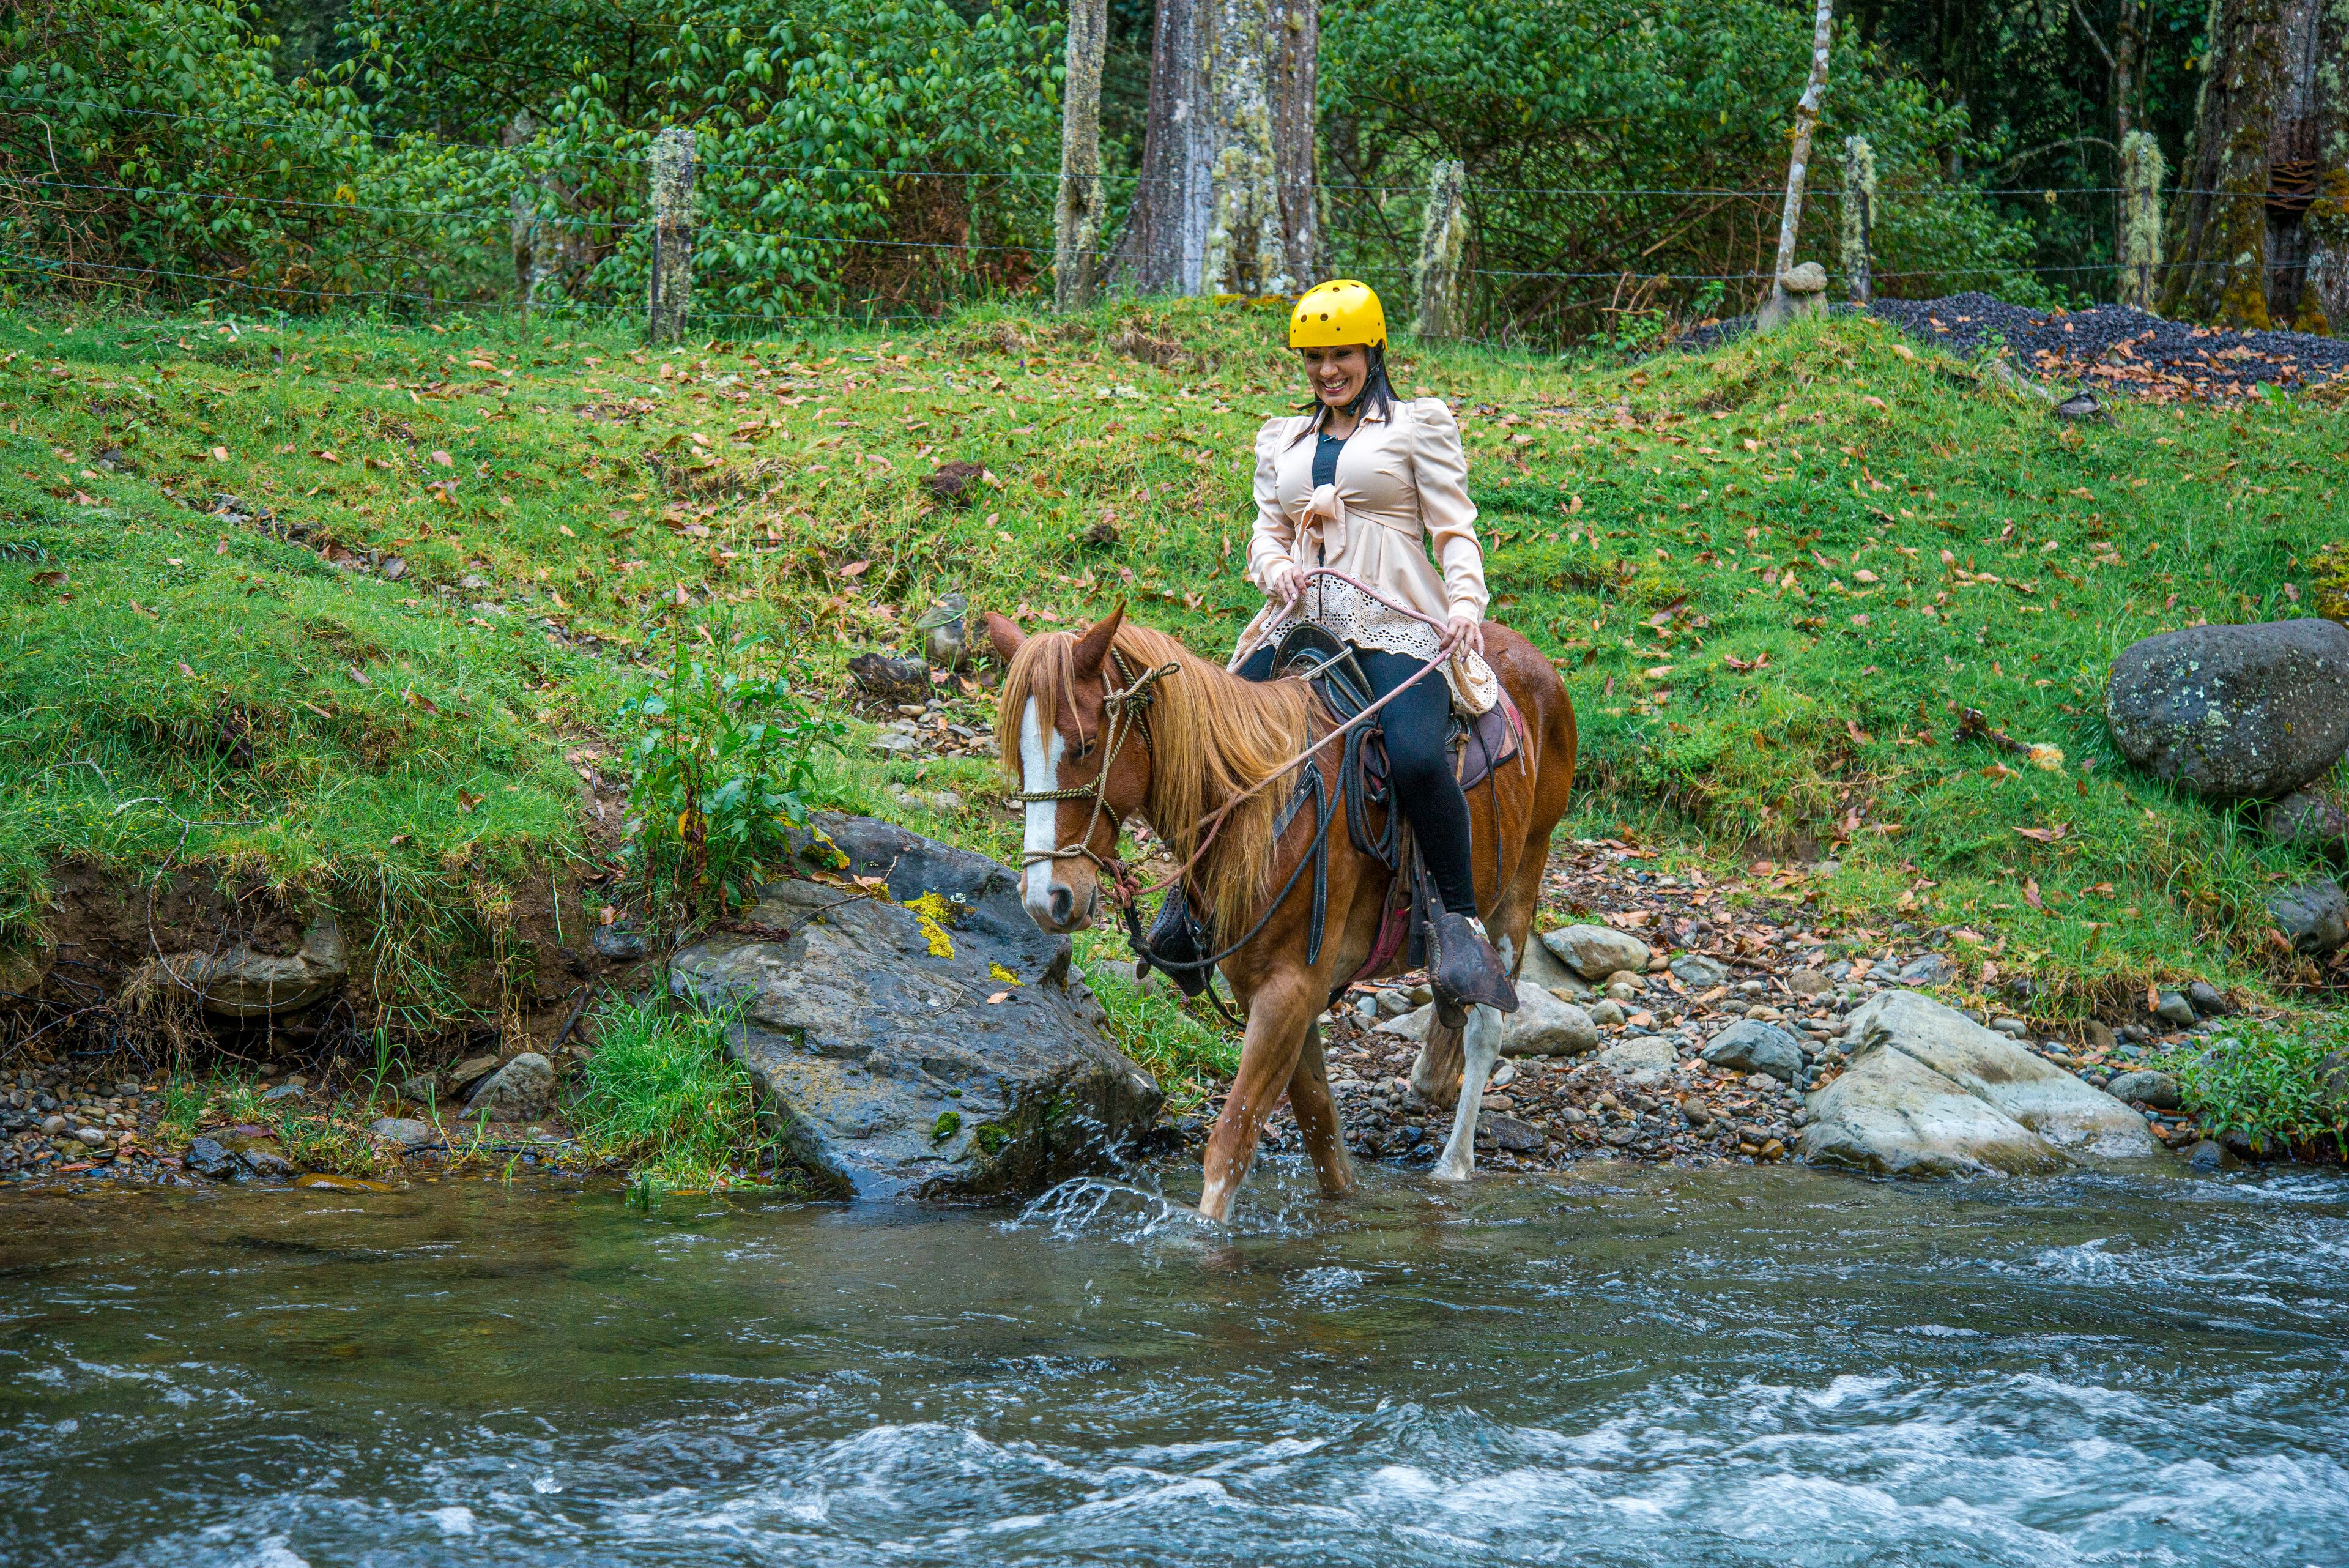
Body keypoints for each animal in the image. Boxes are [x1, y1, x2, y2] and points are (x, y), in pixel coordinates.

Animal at [987, 603, 1578, 1221]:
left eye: (1084, 745)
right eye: (1020, 757)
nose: (1046, 898)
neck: (1266, 804)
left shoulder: (1290, 987)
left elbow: (1231, 1142)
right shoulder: (1269, 990)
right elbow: (1321, 1131)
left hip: (1523, 879)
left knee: (1486, 1027)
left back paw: (1455, 1164)